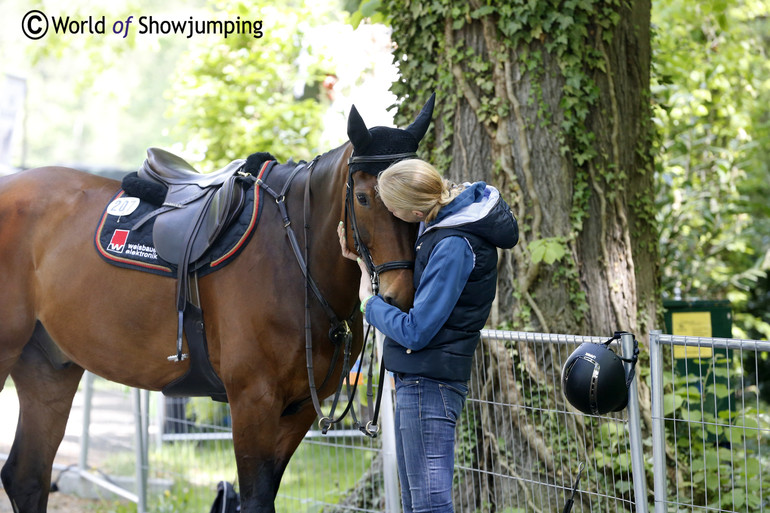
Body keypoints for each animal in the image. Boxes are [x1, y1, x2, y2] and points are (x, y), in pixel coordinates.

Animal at [0, 94, 432, 510]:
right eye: (362, 197)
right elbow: (255, 499)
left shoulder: (300, 409)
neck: (292, 254)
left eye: (424, 200)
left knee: (26, 477)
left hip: (49, 369)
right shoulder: (251, 401)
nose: (401, 295)